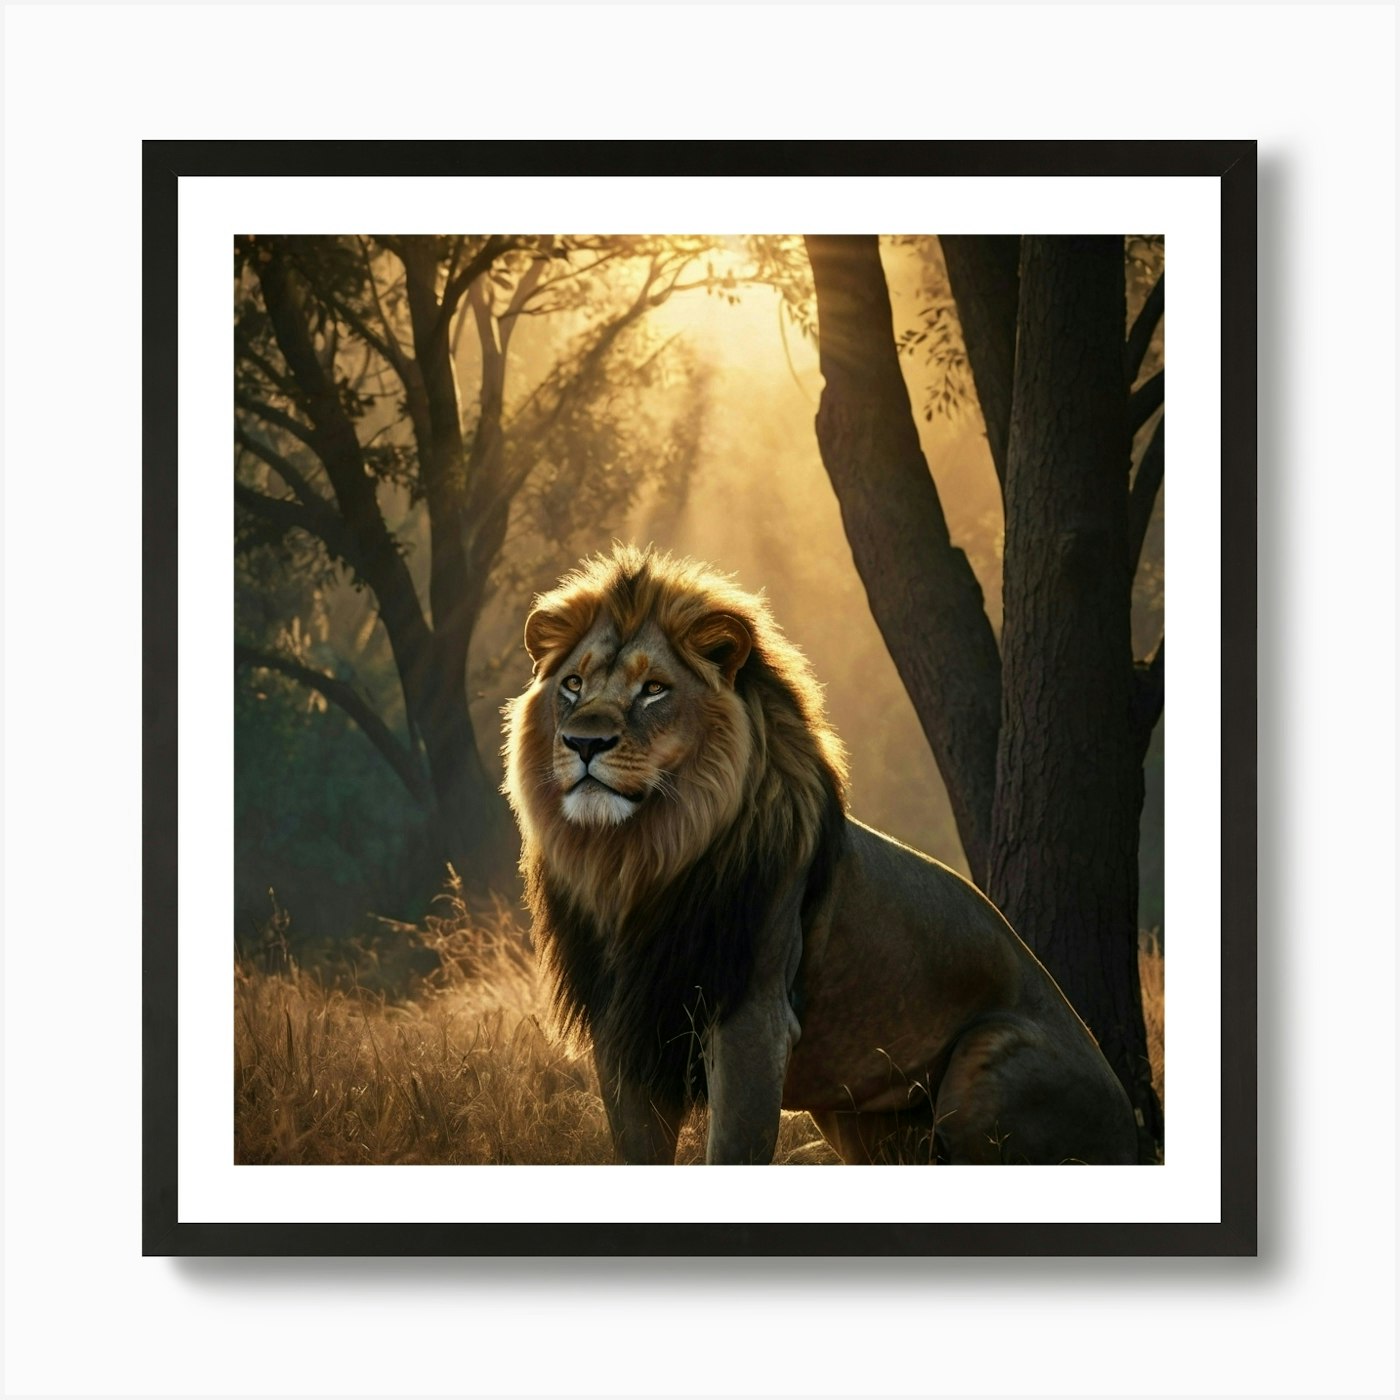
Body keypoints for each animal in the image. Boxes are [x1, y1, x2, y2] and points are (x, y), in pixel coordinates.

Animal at [502, 545, 1138, 1165]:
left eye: (654, 688)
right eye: (573, 684)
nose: (583, 742)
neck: (637, 862)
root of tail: (1133, 1129)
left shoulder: (753, 1019)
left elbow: (733, 1151)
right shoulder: (623, 1026)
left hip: (984, 1059)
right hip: (858, 1123)